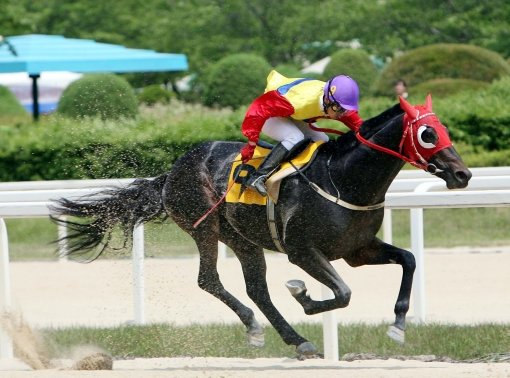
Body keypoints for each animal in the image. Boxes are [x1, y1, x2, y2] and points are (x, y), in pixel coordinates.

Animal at [49, 94, 472, 358]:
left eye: (445, 129)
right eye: (427, 133)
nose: (463, 174)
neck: (343, 177)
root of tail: (173, 170)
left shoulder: (357, 249)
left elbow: (409, 260)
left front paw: (398, 324)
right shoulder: (303, 250)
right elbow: (342, 293)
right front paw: (304, 296)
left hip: (243, 238)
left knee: (257, 289)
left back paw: (297, 341)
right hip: (205, 228)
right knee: (210, 280)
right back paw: (255, 327)